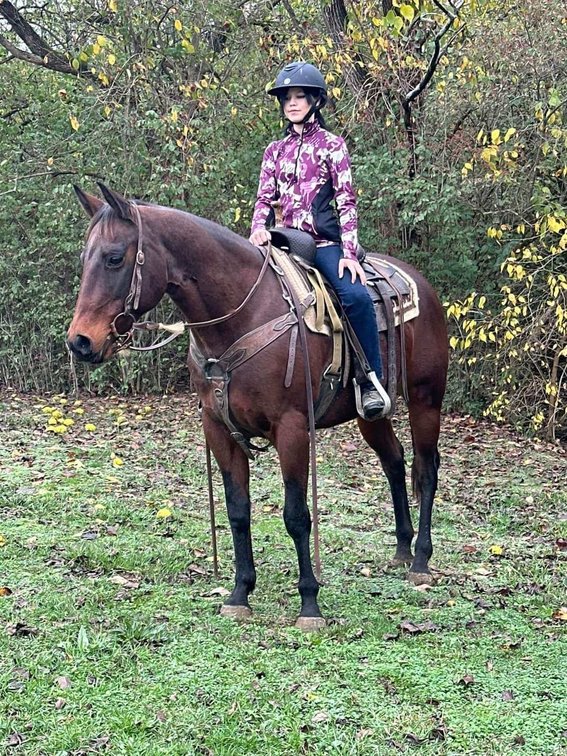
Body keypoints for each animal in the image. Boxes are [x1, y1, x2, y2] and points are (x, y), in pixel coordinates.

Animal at [67, 184, 448, 630]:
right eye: (85, 258)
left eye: (114, 258)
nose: (80, 342)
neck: (242, 315)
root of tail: (419, 282)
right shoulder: (218, 429)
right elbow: (238, 511)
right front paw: (239, 593)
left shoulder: (292, 429)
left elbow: (296, 515)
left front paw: (309, 603)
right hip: (371, 413)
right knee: (394, 461)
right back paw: (402, 549)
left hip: (426, 399)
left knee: (426, 469)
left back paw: (420, 560)